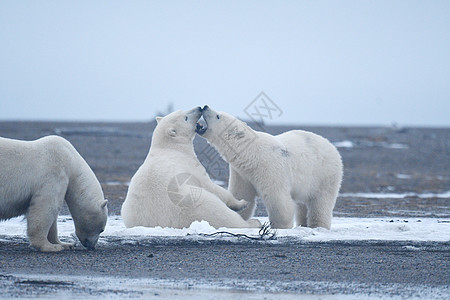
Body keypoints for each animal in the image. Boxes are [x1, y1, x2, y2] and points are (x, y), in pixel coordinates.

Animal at [120, 106, 260, 229]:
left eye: (183, 111)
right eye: (186, 117)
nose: (199, 108)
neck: (169, 148)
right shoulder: (190, 165)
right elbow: (211, 186)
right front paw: (241, 203)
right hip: (197, 203)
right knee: (221, 214)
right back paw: (253, 222)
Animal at [199, 105, 342, 230]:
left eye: (218, 116)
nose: (205, 106)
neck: (251, 154)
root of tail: (332, 147)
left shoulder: (269, 167)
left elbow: (278, 200)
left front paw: (280, 226)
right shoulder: (242, 173)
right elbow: (242, 194)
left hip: (325, 174)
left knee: (321, 202)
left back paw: (318, 225)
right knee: (302, 204)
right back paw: (303, 224)